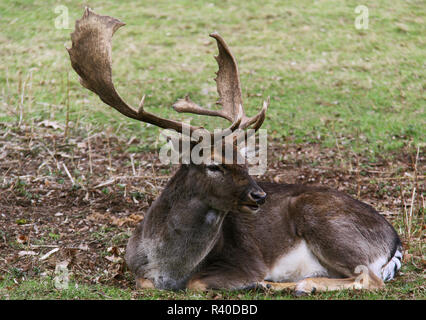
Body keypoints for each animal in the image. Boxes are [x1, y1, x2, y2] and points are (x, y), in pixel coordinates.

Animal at [68, 9, 402, 296]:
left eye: (244, 162)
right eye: (214, 165)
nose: (259, 196)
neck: (169, 267)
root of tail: (394, 240)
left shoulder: (245, 262)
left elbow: (198, 284)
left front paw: (257, 283)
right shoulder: (137, 270)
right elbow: (145, 283)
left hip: (326, 222)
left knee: (370, 278)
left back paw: (295, 284)